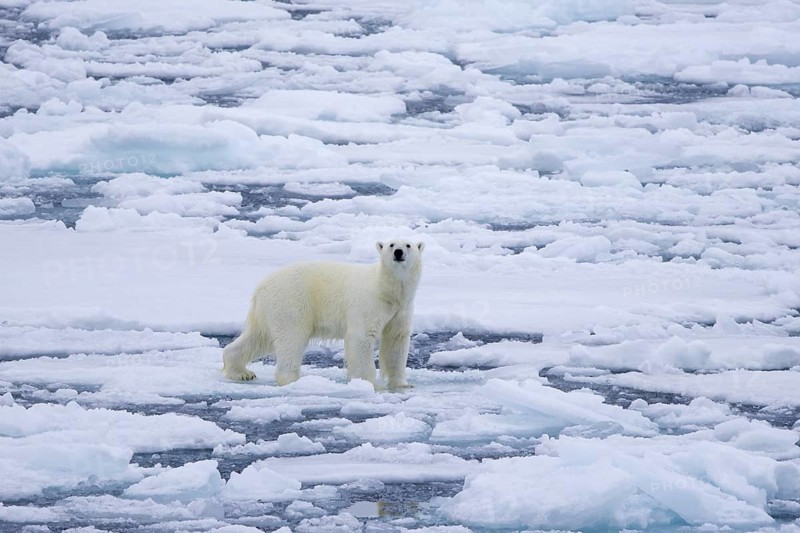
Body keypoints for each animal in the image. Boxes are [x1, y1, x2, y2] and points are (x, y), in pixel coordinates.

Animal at [222, 239, 424, 389]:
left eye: (408, 245)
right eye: (391, 244)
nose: (398, 252)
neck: (386, 289)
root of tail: (261, 287)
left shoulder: (401, 309)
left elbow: (396, 340)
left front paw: (403, 384)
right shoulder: (369, 303)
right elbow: (362, 337)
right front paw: (368, 383)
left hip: (269, 310)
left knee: (258, 338)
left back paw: (242, 372)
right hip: (292, 302)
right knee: (291, 338)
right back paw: (293, 379)